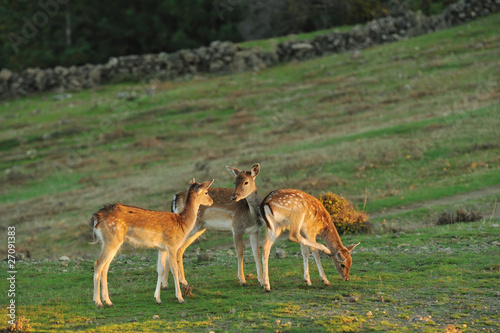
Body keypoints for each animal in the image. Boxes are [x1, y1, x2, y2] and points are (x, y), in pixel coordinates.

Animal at [91, 176, 214, 306]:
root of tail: (96, 217)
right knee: (98, 263)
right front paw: (180, 298)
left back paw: (108, 301)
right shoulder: (172, 245)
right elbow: (174, 269)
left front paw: (157, 299)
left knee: (105, 266)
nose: (211, 201)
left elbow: (160, 269)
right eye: (206, 192)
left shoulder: (161, 248)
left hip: (109, 241)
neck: (183, 223)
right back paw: (98, 302)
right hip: (112, 239)